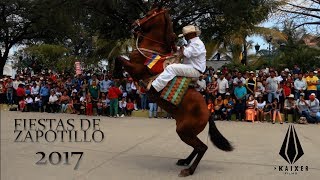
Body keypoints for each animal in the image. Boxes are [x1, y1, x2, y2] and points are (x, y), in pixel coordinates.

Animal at [116, 6, 234, 176]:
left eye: (149, 14)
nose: (134, 24)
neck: (153, 49)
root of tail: (208, 112)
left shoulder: (136, 70)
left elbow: (118, 58)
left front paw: (116, 74)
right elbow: (118, 58)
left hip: (184, 131)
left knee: (202, 147)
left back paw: (188, 170)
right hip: (186, 130)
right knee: (197, 147)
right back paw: (184, 161)